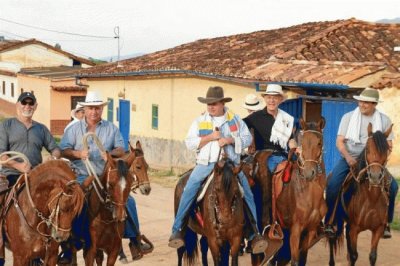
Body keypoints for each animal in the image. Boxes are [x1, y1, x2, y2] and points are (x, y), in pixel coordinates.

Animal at [328, 123, 394, 266]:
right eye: (367, 148)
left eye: (386, 149)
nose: (375, 176)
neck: (371, 198)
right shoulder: (354, 229)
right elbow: (354, 256)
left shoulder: (378, 229)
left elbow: (372, 256)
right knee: (331, 239)